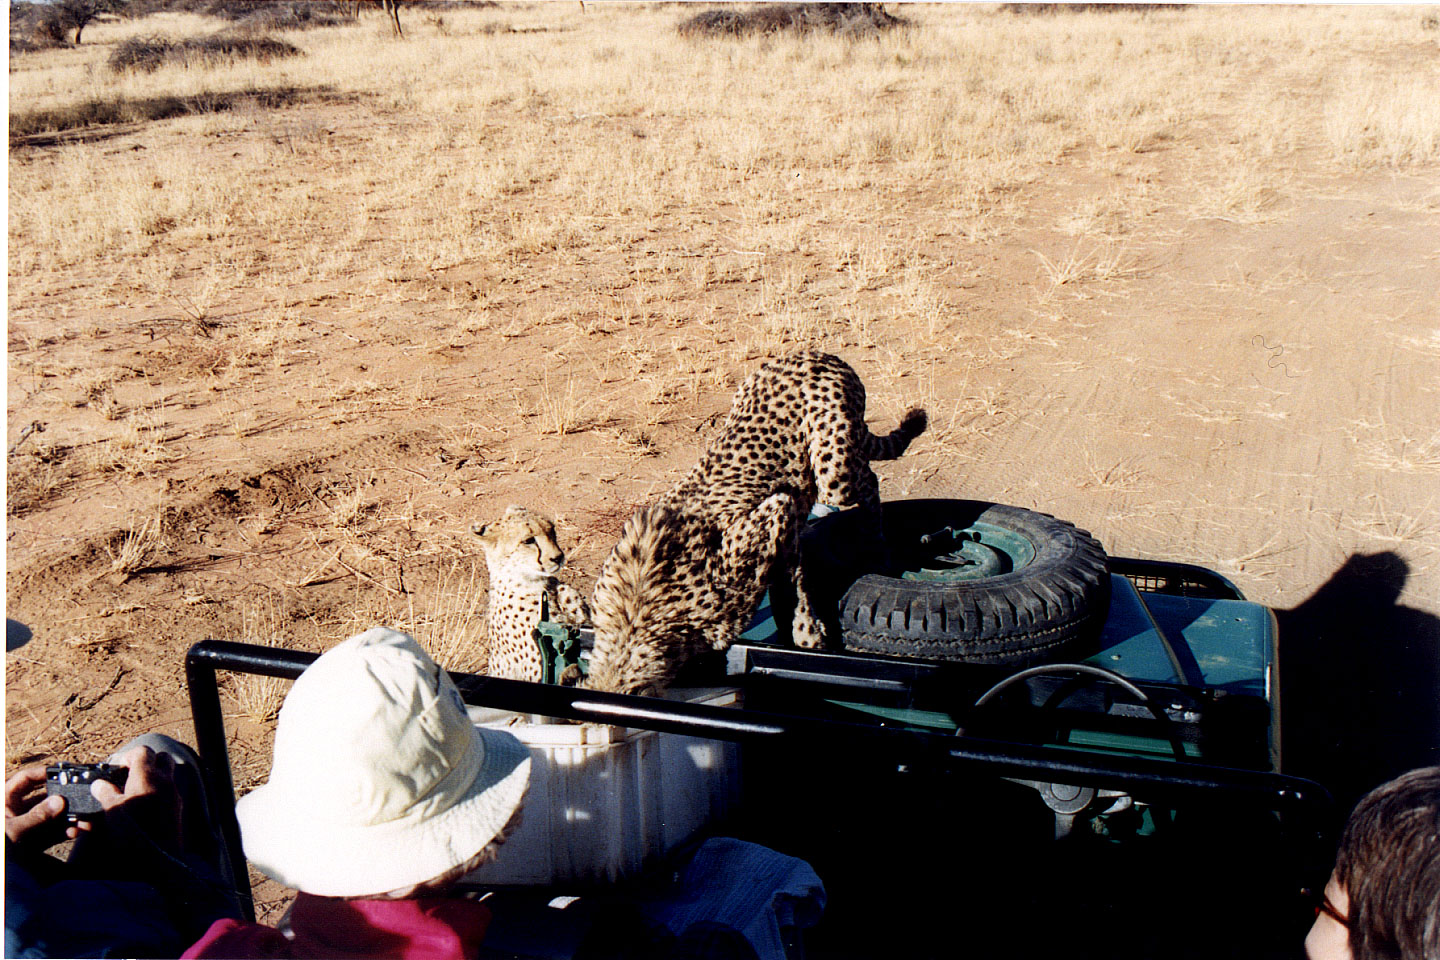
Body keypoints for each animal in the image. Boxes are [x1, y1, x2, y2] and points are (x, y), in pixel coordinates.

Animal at [581, 349, 927, 693]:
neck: (636, 613)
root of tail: (813, 352)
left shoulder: (777, 511)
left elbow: (792, 582)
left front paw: (808, 637)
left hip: (834, 469)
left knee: (868, 482)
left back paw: (877, 545)